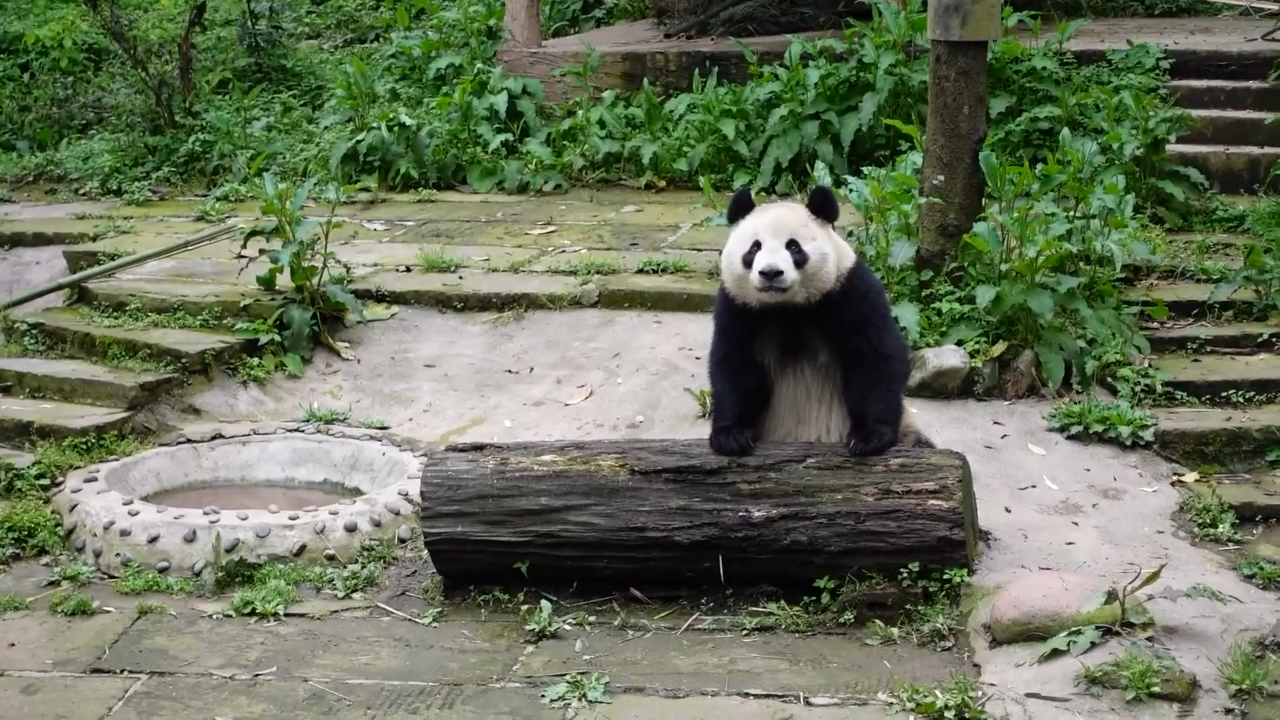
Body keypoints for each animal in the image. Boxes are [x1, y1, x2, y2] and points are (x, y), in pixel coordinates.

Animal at [706, 183, 936, 453]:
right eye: (754, 248)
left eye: (793, 247)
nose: (771, 273)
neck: (786, 306)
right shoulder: (738, 306)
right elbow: (734, 364)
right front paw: (731, 436)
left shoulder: (849, 291)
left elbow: (875, 355)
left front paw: (869, 437)